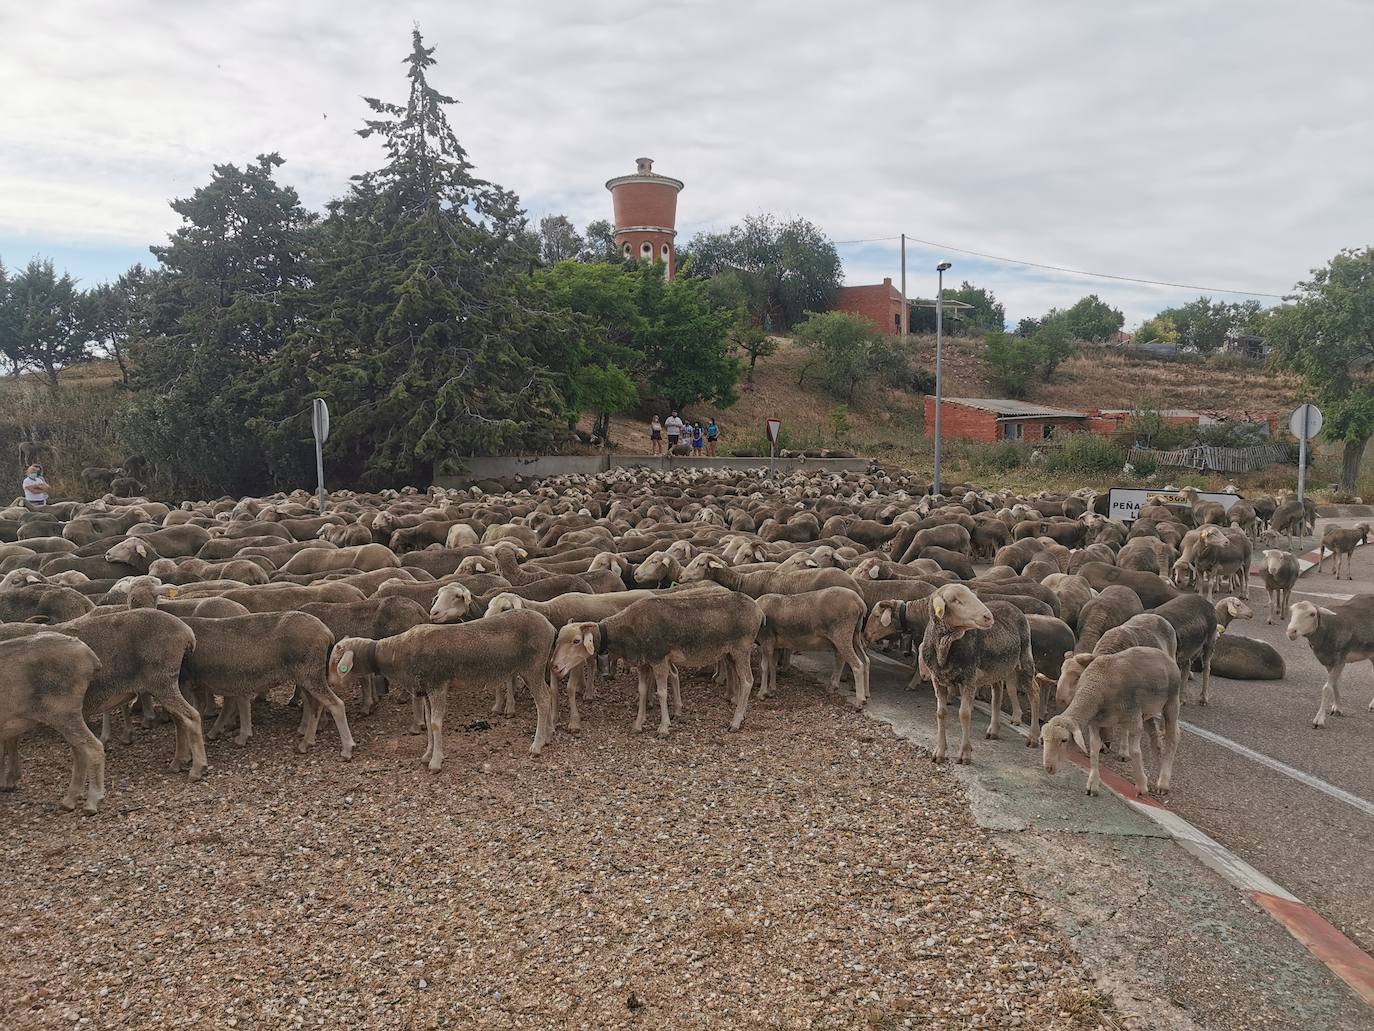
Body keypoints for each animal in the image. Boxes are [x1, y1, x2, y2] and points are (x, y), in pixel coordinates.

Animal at [329, 610, 555, 769]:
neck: (394, 654)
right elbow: (429, 723)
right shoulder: (426, 690)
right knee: (548, 694)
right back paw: (547, 737)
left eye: (336, 661)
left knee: (543, 701)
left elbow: (436, 724)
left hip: (532, 667)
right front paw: (427, 754)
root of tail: (550, 627)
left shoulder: (438, 686)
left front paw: (435, 762)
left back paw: (537, 745)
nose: (331, 684)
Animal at [917, 585, 1033, 764]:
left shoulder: (969, 679)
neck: (946, 645)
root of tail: (1011, 604)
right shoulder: (937, 680)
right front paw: (940, 752)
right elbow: (941, 713)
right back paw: (994, 730)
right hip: (996, 667)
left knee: (1034, 692)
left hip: (1025, 656)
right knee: (997, 692)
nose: (988, 617)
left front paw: (965, 754)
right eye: (955, 600)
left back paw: (1034, 737)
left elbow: (964, 714)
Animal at [1038, 646, 1181, 797]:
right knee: (1155, 737)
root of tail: (1162, 653)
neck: (1095, 687)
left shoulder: (1134, 717)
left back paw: (1163, 783)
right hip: (1148, 712)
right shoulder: (1095, 723)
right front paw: (1093, 784)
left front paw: (1142, 786)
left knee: (1173, 738)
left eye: (1064, 740)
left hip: (1171, 702)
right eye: (1044, 740)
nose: (1048, 768)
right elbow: (1094, 750)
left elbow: (1135, 752)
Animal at [1280, 593, 1374, 731]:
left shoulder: (1340, 659)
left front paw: (1318, 720)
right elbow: (1335, 684)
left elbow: (1327, 688)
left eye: (1312, 614)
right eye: (1292, 611)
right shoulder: (1329, 661)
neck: (1327, 629)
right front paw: (1338, 708)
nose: (1291, 632)